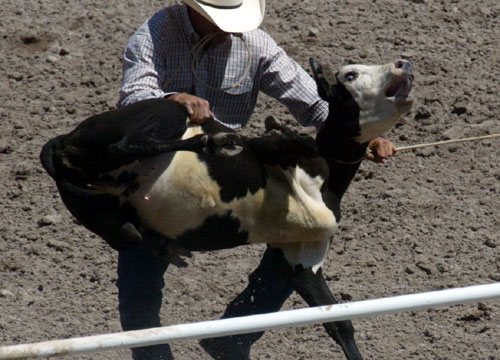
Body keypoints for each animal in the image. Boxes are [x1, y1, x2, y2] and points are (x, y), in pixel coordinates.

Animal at [41, 59, 412, 360]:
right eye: (350, 75)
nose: (403, 65)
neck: (327, 180)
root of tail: (62, 140)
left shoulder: (301, 261)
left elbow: (339, 323)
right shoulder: (278, 157)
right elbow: (289, 142)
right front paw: (277, 131)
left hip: (104, 207)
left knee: (126, 230)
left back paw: (162, 243)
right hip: (165, 116)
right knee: (127, 146)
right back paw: (214, 142)